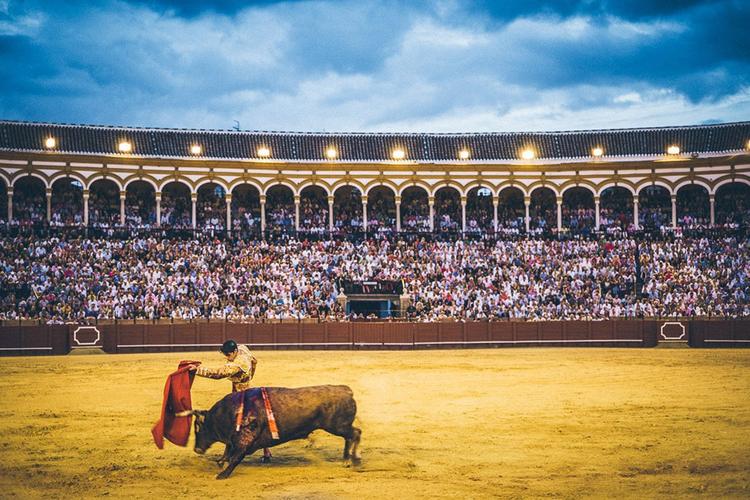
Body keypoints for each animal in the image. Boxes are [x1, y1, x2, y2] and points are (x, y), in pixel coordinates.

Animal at [178, 384, 362, 478]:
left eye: (199, 429)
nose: (197, 449)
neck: (226, 413)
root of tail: (347, 390)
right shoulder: (234, 439)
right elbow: (227, 451)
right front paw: (220, 462)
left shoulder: (244, 440)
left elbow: (235, 457)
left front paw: (222, 474)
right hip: (339, 426)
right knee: (352, 435)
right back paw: (349, 459)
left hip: (337, 426)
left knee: (355, 434)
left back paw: (352, 459)